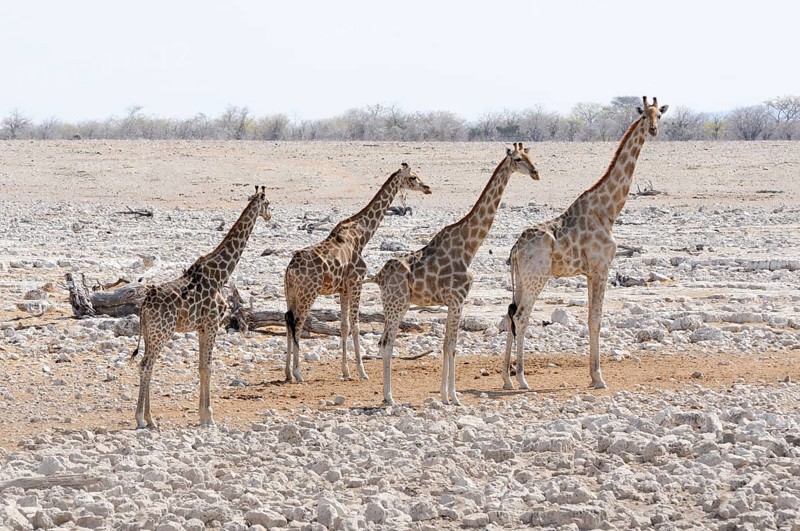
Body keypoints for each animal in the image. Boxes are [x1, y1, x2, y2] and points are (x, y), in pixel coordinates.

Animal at [131, 186, 271, 428]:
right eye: (269, 203)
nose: (270, 216)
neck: (222, 273)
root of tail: (145, 305)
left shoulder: (202, 327)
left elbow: (201, 367)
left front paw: (203, 413)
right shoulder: (213, 323)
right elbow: (208, 367)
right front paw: (208, 416)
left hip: (150, 333)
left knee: (147, 365)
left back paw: (149, 418)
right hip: (161, 332)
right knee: (146, 365)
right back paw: (142, 418)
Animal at [284, 163, 431, 383]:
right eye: (413, 177)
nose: (427, 188)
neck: (362, 236)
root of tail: (290, 270)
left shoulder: (343, 289)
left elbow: (344, 326)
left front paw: (346, 371)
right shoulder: (357, 282)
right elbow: (356, 325)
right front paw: (362, 371)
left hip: (291, 294)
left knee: (288, 322)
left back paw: (287, 373)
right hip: (308, 294)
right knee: (298, 324)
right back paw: (298, 373)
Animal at [371, 144, 540, 406]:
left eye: (530, 156)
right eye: (519, 159)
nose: (535, 172)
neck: (469, 246)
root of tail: (379, 276)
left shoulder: (455, 302)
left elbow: (450, 345)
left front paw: (448, 395)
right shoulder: (457, 299)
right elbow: (450, 345)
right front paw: (452, 396)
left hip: (395, 305)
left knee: (383, 342)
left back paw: (388, 396)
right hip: (396, 305)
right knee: (387, 343)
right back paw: (389, 397)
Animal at [502, 96, 668, 391]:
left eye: (659, 114)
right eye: (644, 114)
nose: (653, 130)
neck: (609, 210)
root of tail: (515, 249)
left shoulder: (590, 272)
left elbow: (592, 319)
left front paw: (593, 376)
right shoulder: (602, 267)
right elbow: (596, 320)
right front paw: (599, 377)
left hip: (521, 278)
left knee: (508, 315)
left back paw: (506, 380)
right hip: (537, 277)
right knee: (520, 317)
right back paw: (521, 379)